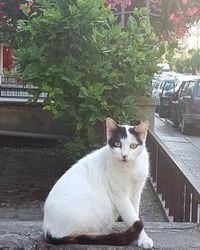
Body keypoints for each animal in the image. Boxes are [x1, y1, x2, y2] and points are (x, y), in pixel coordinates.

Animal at [43, 118, 153, 249]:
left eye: (133, 146)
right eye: (117, 144)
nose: (124, 156)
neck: (130, 168)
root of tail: (47, 229)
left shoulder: (136, 192)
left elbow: (135, 213)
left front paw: (140, 237)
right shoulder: (119, 195)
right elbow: (132, 216)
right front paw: (143, 237)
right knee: (77, 235)